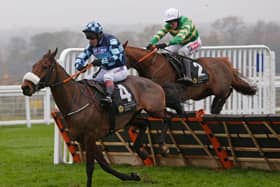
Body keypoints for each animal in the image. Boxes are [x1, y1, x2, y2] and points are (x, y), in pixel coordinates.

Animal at [20, 49, 170, 186]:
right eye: (34, 66)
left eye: (45, 66)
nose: (25, 87)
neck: (76, 100)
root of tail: (153, 82)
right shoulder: (82, 139)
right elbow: (104, 165)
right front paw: (132, 176)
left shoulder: (90, 136)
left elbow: (90, 167)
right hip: (130, 118)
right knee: (145, 123)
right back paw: (141, 151)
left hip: (155, 109)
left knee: (167, 118)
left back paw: (163, 146)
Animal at [126, 45, 258, 114]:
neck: (152, 65)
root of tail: (224, 62)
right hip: (206, 91)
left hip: (220, 88)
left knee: (227, 91)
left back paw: (216, 107)